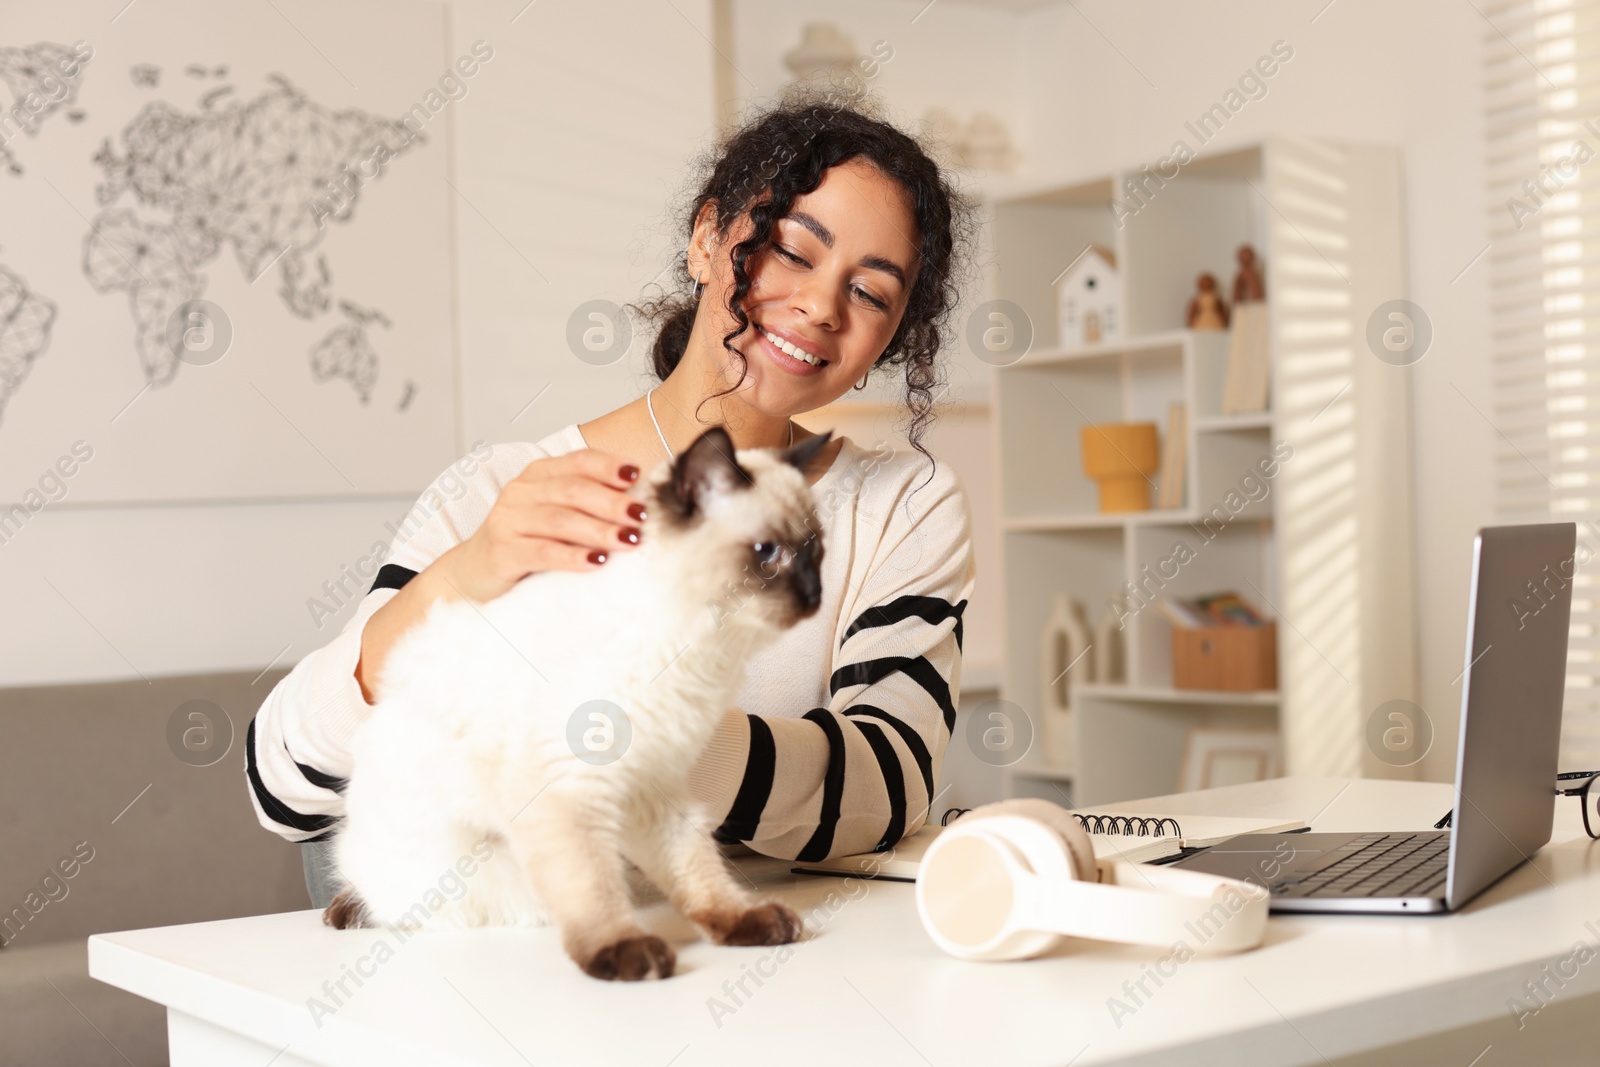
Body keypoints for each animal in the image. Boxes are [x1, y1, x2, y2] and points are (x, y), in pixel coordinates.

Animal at [320, 428, 832, 979]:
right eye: (767, 552)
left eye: (817, 553)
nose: (814, 597)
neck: (704, 648)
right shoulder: (571, 790)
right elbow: (592, 887)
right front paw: (626, 954)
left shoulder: (653, 787)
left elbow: (698, 873)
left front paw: (744, 924)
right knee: (383, 898)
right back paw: (348, 910)